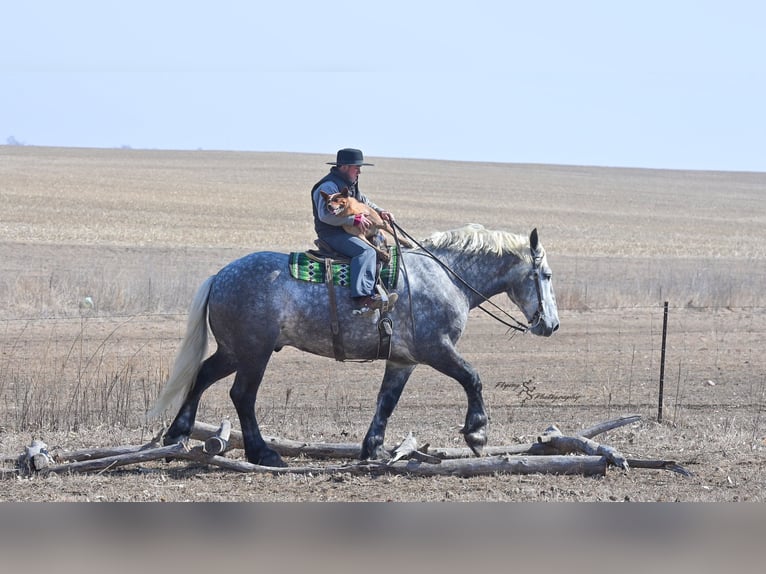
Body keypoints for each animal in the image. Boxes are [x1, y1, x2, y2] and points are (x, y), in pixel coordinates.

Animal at [147, 223, 559, 467]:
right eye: (545, 275)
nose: (551, 325)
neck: (446, 276)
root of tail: (220, 276)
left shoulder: (404, 361)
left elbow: (386, 402)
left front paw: (373, 449)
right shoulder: (437, 349)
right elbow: (472, 378)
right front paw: (477, 435)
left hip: (234, 351)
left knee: (202, 376)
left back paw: (177, 434)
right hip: (253, 354)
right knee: (242, 395)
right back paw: (263, 453)